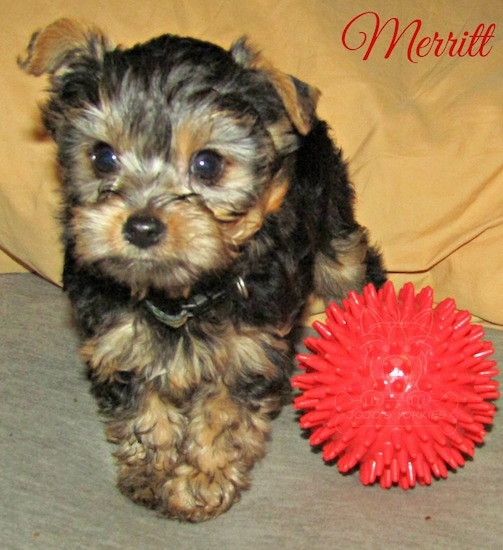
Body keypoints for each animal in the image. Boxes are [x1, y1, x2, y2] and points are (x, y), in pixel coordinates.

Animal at [17, 19, 384, 524]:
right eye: (102, 157)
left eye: (207, 163)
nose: (142, 226)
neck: (180, 295)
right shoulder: (119, 342)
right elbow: (142, 406)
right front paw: (153, 470)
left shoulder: (247, 350)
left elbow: (221, 415)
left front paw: (201, 482)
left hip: (334, 223)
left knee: (350, 264)